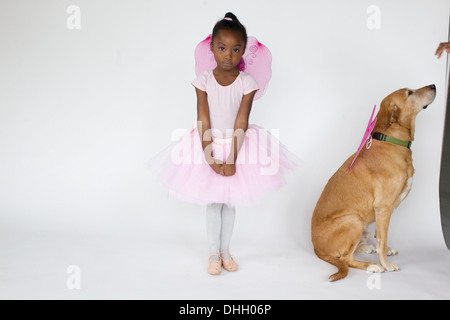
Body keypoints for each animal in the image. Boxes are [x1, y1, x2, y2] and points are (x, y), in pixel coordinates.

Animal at [312, 84, 436, 280]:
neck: (393, 141)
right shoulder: (383, 207)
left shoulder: (383, 212)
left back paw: (364, 247)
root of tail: (316, 248)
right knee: (345, 258)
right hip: (353, 219)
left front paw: (386, 250)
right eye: (410, 93)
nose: (434, 86)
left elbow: (380, 236)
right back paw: (372, 266)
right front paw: (386, 264)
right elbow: (381, 242)